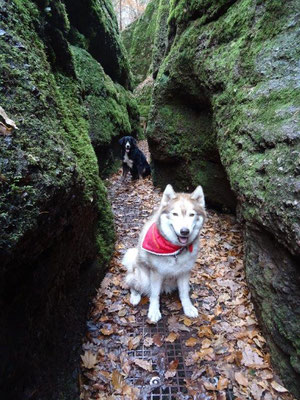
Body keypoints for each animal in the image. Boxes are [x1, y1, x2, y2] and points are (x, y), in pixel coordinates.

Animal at [122, 184, 206, 322]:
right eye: (175, 214)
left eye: (191, 214)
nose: (184, 231)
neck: (175, 250)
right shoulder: (157, 273)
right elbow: (154, 295)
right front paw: (154, 311)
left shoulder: (184, 272)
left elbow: (184, 293)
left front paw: (188, 307)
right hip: (142, 277)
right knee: (132, 284)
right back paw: (135, 296)